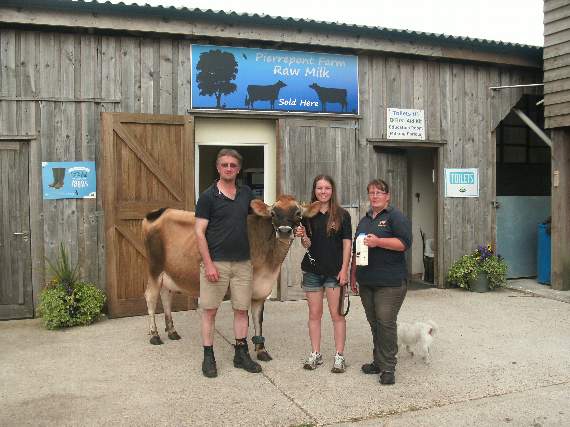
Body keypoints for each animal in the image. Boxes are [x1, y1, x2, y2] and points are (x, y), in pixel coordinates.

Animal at [141, 196, 320, 362]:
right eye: (273, 213)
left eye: (298, 213)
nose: (284, 231)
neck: (270, 264)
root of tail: (160, 211)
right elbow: (245, 321)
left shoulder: (261, 290)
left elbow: (258, 320)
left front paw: (261, 350)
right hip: (154, 268)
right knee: (150, 296)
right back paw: (154, 335)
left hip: (167, 272)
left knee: (166, 296)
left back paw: (172, 331)